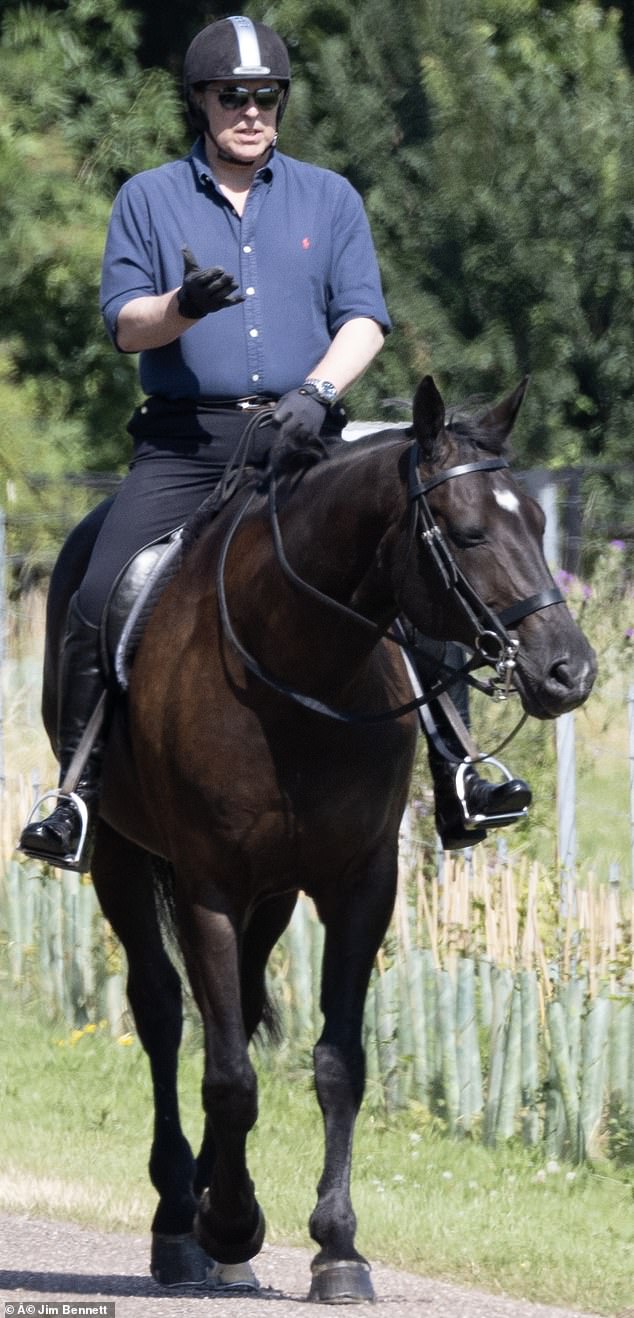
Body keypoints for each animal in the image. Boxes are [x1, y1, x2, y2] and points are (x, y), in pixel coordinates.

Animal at [44, 376, 593, 1302]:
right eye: (468, 531)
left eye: (535, 522)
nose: (569, 671)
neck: (296, 665)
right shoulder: (208, 887)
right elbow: (229, 1072)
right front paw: (231, 1223)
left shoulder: (358, 885)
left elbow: (336, 1062)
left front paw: (335, 1247)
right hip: (122, 860)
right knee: (164, 1014)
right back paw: (180, 1219)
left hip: (271, 896)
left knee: (237, 1006)